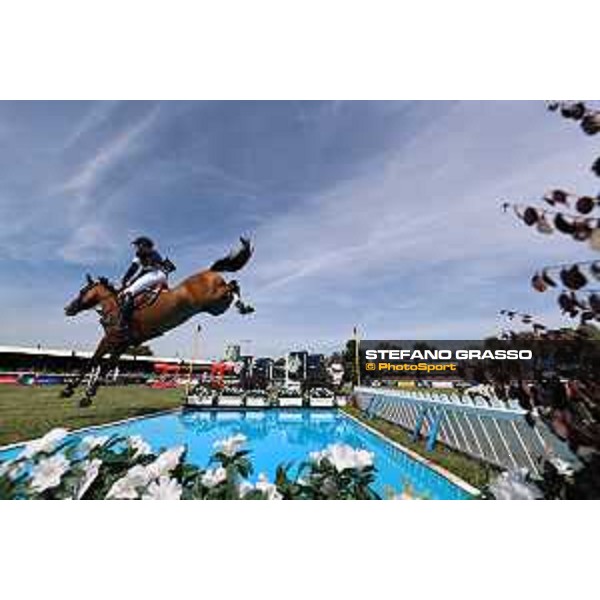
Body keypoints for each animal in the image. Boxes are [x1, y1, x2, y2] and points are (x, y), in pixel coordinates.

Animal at [62, 237, 254, 406]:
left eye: (82, 291)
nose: (67, 309)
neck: (114, 305)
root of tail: (209, 271)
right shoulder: (122, 343)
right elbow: (105, 366)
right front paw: (88, 394)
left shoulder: (111, 339)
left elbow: (93, 361)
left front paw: (70, 390)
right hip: (217, 307)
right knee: (233, 286)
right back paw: (244, 307)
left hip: (215, 297)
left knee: (233, 285)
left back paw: (244, 306)